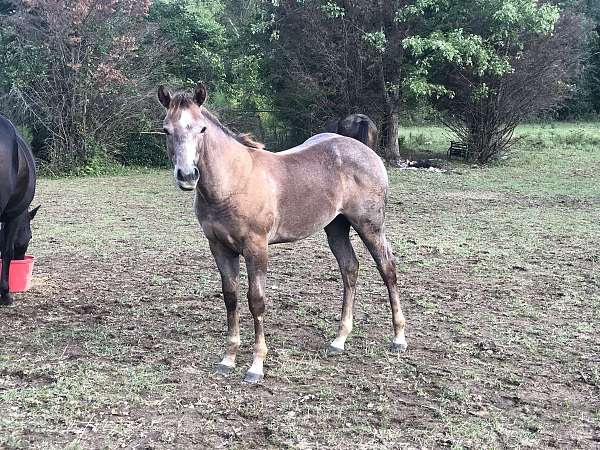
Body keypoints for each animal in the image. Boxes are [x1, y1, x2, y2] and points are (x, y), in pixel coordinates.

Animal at [157, 82, 406, 382]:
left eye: (202, 129)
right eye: (166, 130)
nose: (187, 176)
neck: (233, 182)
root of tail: (367, 152)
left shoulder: (256, 247)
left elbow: (256, 301)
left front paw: (256, 366)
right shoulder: (219, 247)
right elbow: (230, 297)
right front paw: (228, 359)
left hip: (370, 225)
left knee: (387, 268)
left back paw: (399, 338)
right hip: (336, 226)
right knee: (350, 268)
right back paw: (339, 340)